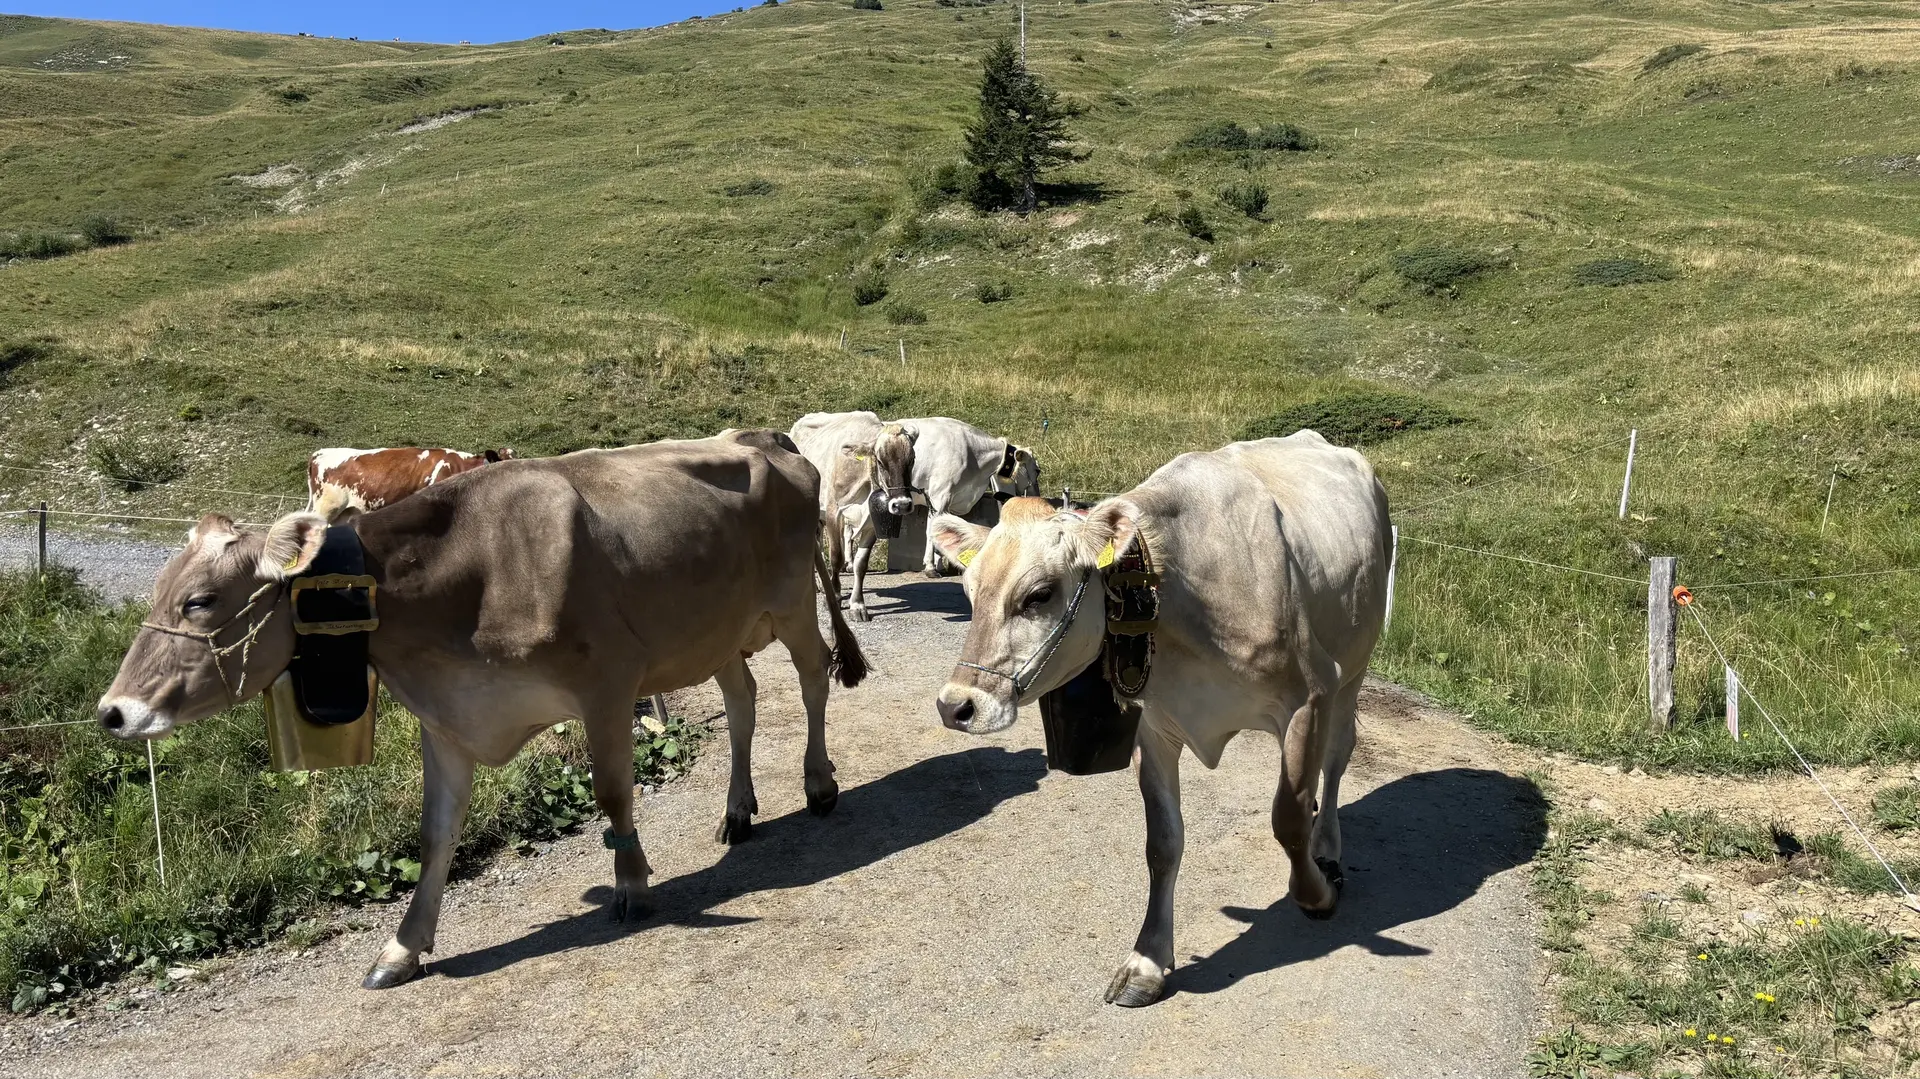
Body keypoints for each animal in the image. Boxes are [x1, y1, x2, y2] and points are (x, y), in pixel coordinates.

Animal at [927, 431, 1390, 1007]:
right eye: (969, 593)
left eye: (1038, 595)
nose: (955, 705)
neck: (1182, 598)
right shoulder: (1155, 728)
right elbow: (1163, 844)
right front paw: (1147, 961)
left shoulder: (1311, 694)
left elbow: (1287, 818)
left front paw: (1315, 893)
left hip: (1353, 671)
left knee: (1334, 762)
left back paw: (1327, 845)